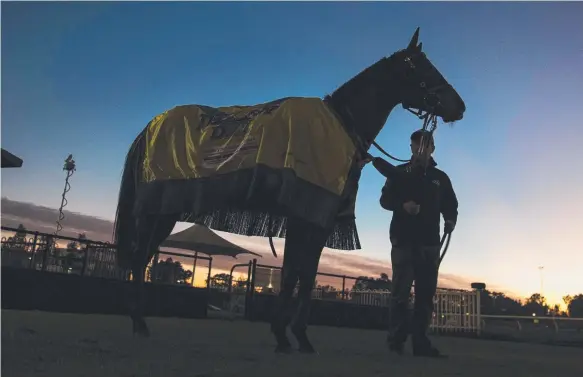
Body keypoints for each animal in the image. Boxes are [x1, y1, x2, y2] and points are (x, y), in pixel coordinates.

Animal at [113, 27, 466, 354]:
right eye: (424, 68)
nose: (459, 106)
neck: (339, 125)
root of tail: (150, 128)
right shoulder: (307, 216)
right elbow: (299, 275)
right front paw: (293, 336)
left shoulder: (312, 220)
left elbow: (298, 275)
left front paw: (290, 335)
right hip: (159, 210)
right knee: (138, 258)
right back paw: (139, 323)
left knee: (140, 258)